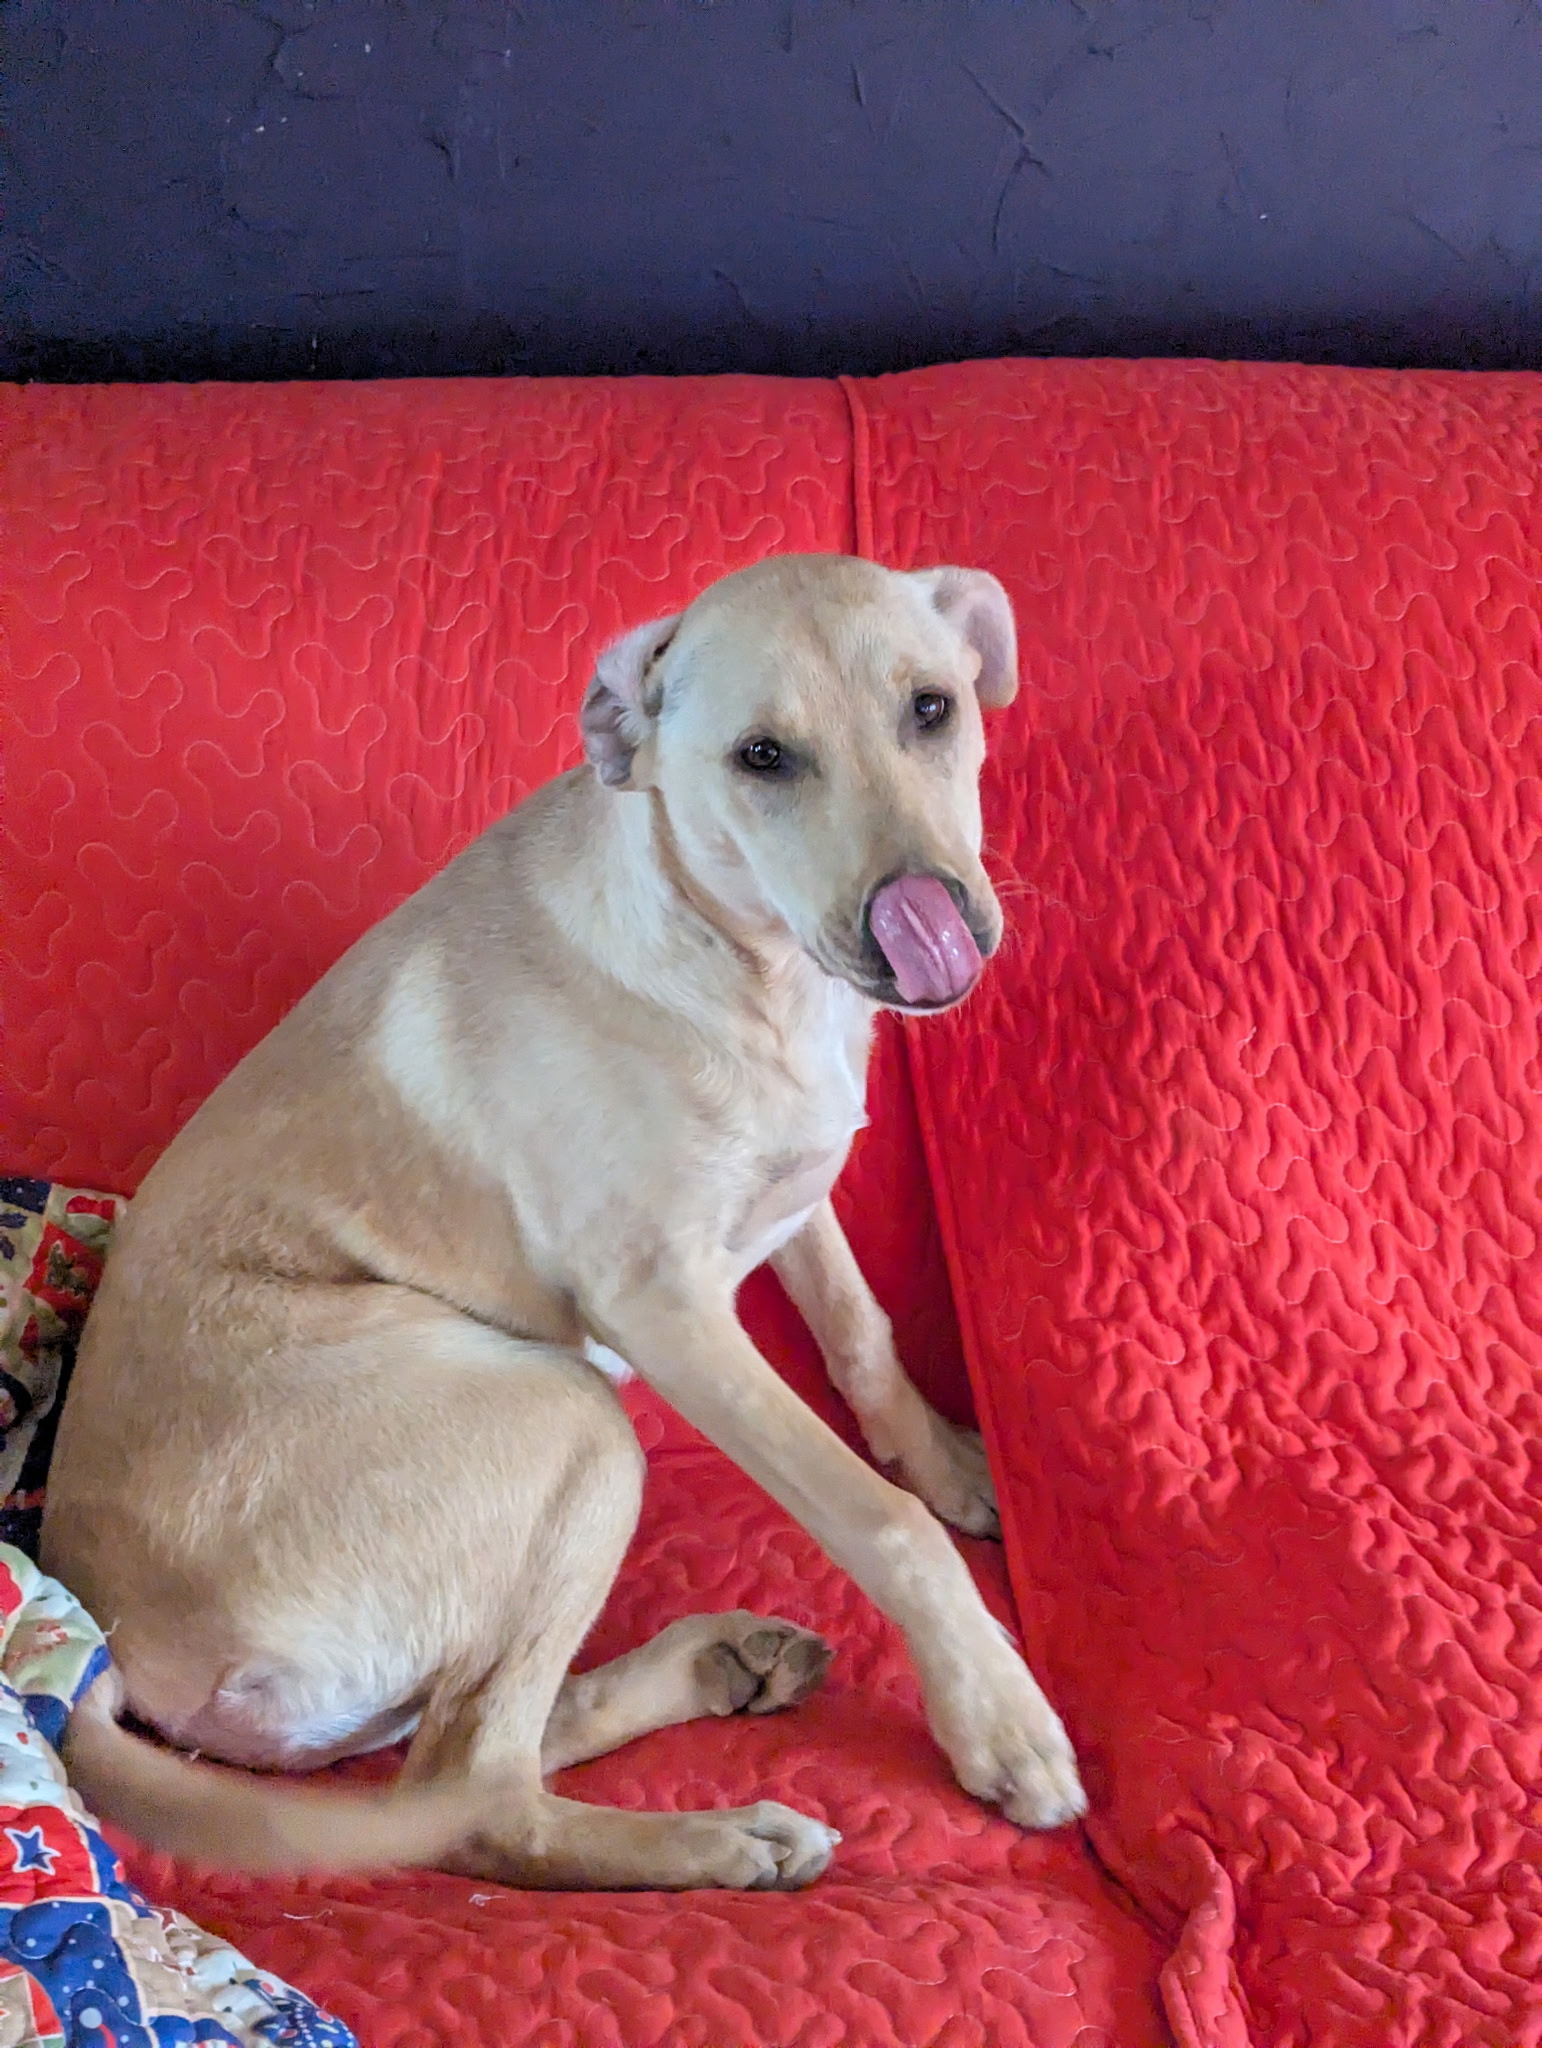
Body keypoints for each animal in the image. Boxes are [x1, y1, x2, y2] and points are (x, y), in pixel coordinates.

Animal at [44, 553, 1086, 1891]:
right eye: (761, 756)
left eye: (932, 708)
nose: (930, 914)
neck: (744, 965)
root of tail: (120, 1644)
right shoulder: (667, 1311)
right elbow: (877, 1516)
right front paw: (996, 1713)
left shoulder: (798, 1192)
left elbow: (861, 1337)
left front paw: (950, 1460)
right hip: (575, 1416)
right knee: (478, 1794)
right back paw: (723, 1835)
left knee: (484, 1740)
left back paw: (717, 1667)